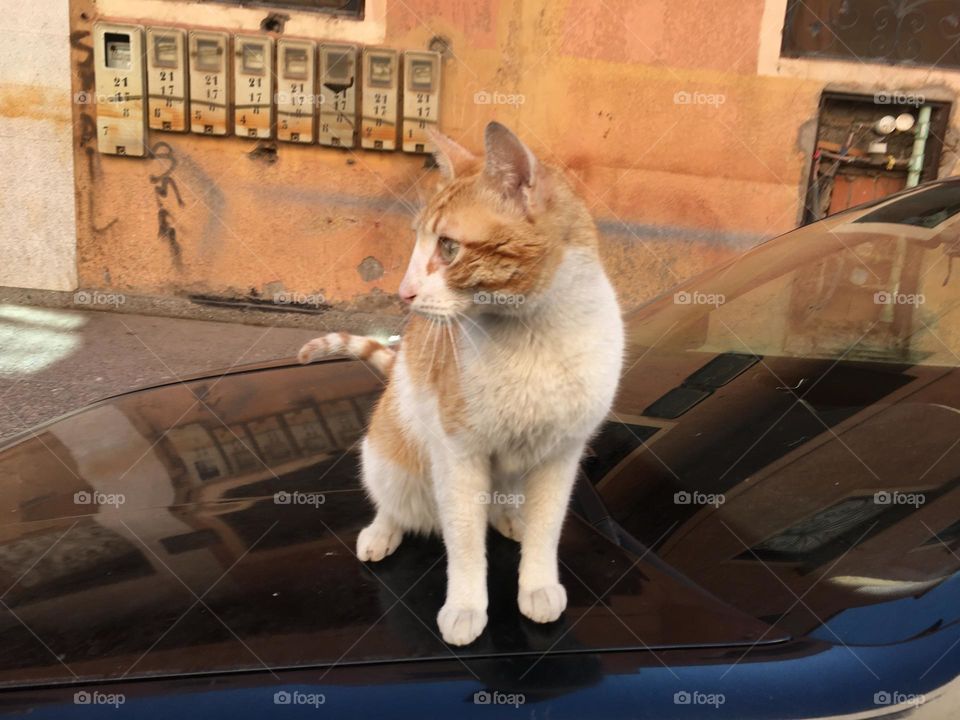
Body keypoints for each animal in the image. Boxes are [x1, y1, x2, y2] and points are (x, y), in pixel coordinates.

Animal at [302, 121, 632, 644]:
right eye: (418, 243)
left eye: (448, 247)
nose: (403, 293)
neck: (533, 334)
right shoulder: (459, 457)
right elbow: (464, 543)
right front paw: (465, 607)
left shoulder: (562, 454)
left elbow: (547, 528)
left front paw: (537, 585)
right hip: (389, 454)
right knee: (394, 503)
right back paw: (383, 532)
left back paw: (509, 517)